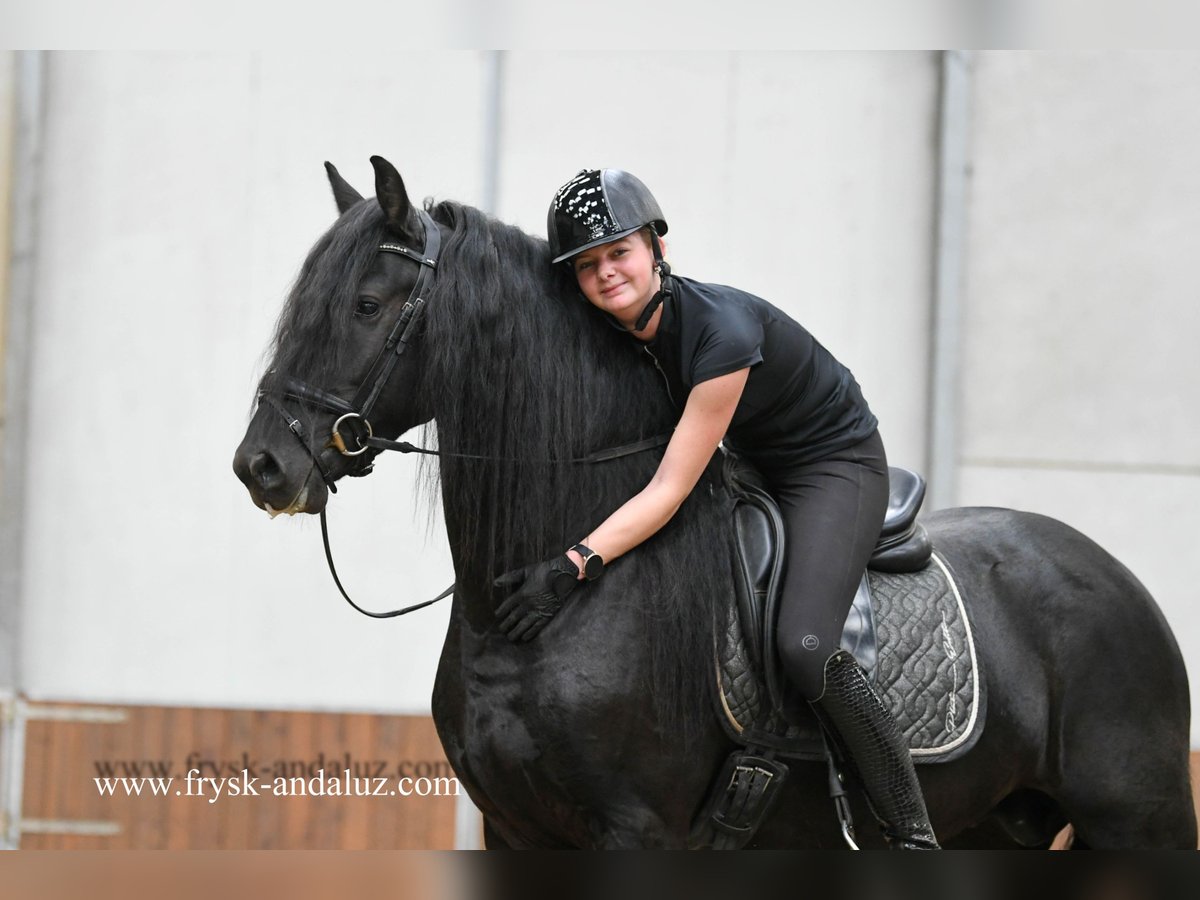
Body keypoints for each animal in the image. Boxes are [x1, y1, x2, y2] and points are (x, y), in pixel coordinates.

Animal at [233, 156, 1196, 849]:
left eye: (366, 305)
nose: (262, 467)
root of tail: (1110, 571)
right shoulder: (514, 830)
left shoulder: (632, 832)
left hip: (1136, 822)